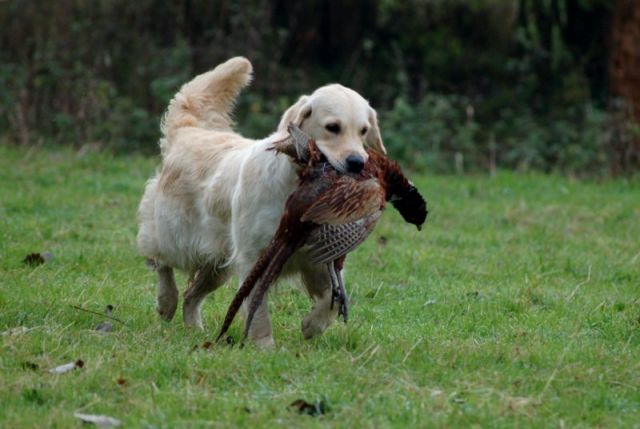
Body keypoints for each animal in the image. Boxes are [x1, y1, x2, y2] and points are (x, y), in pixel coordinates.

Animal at [136, 56, 384, 346]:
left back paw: (194, 328)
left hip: (218, 264)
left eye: (364, 131)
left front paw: (312, 325)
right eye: (333, 127)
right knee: (159, 259)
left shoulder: (318, 258)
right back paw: (166, 302)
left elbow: (331, 301)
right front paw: (264, 346)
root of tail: (191, 131)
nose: (358, 163)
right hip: (176, 236)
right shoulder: (254, 256)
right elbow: (258, 307)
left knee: (191, 295)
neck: (295, 181)